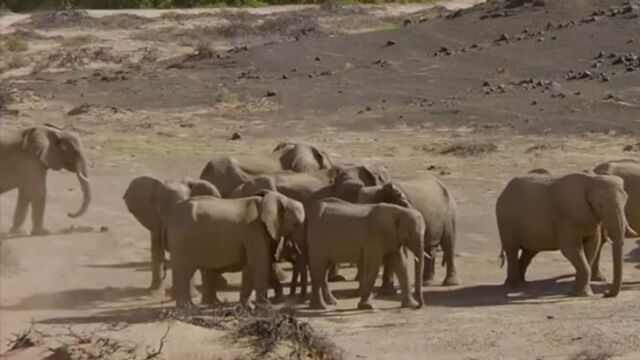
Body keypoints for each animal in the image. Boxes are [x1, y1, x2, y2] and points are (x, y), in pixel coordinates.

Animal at [165, 191, 304, 306]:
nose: (291, 297)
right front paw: (265, 305)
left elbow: (253, 266)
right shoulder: (255, 232)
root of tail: (171, 218)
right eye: (297, 224)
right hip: (182, 242)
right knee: (184, 271)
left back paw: (213, 304)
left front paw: (249, 306)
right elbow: (260, 264)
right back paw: (187, 307)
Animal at [496, 170, 636, 296]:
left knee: (529, 252)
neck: (592, 181)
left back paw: (522, 283)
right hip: (506, 220)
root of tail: (504, 191)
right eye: (600, 205)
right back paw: (514, 286)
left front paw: (578, 291)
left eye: (626, 202)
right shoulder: (567, 217)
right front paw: (583, 294)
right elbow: (570, 248)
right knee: (512, 250)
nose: (605, 293)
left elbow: (592, 246)